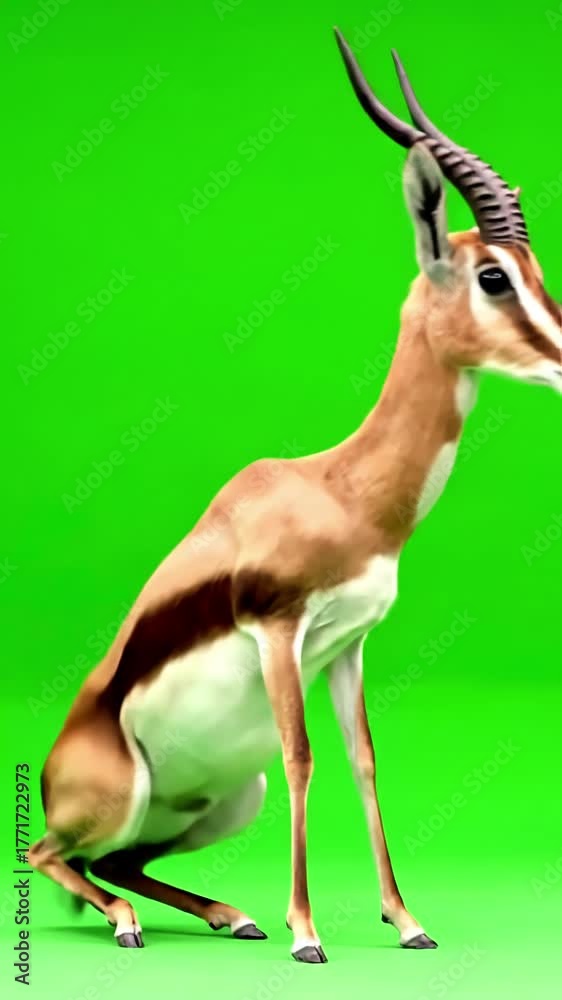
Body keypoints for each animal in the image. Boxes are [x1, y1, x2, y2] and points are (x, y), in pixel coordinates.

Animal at [29, 29, 562, 965]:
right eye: (494, 277)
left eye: (534, 268)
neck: (346, 492)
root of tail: (59, 770)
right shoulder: (278, 628)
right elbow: (305, 754)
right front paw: (307, 935)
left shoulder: (349, 643)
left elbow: (365, 760)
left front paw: (408, 922)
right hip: (120, 798)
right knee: (49, 855)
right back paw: (136, 924)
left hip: (227, 798)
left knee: (120, 863)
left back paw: (227, 914)